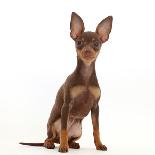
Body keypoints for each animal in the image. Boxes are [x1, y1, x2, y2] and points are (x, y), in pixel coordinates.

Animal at [20, 12, 113, 153]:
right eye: (79, 42)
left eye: (96, 44)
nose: (87, 51)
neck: (86, 77)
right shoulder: (66, 106)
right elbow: (64, 130)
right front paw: (63, 147)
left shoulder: (95, 107)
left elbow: (96, 129)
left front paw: (99, 145)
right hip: (54, 124)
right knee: (51, 138)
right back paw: (53, 144)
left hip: (78, 130)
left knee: (67, 138)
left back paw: (72, 144)